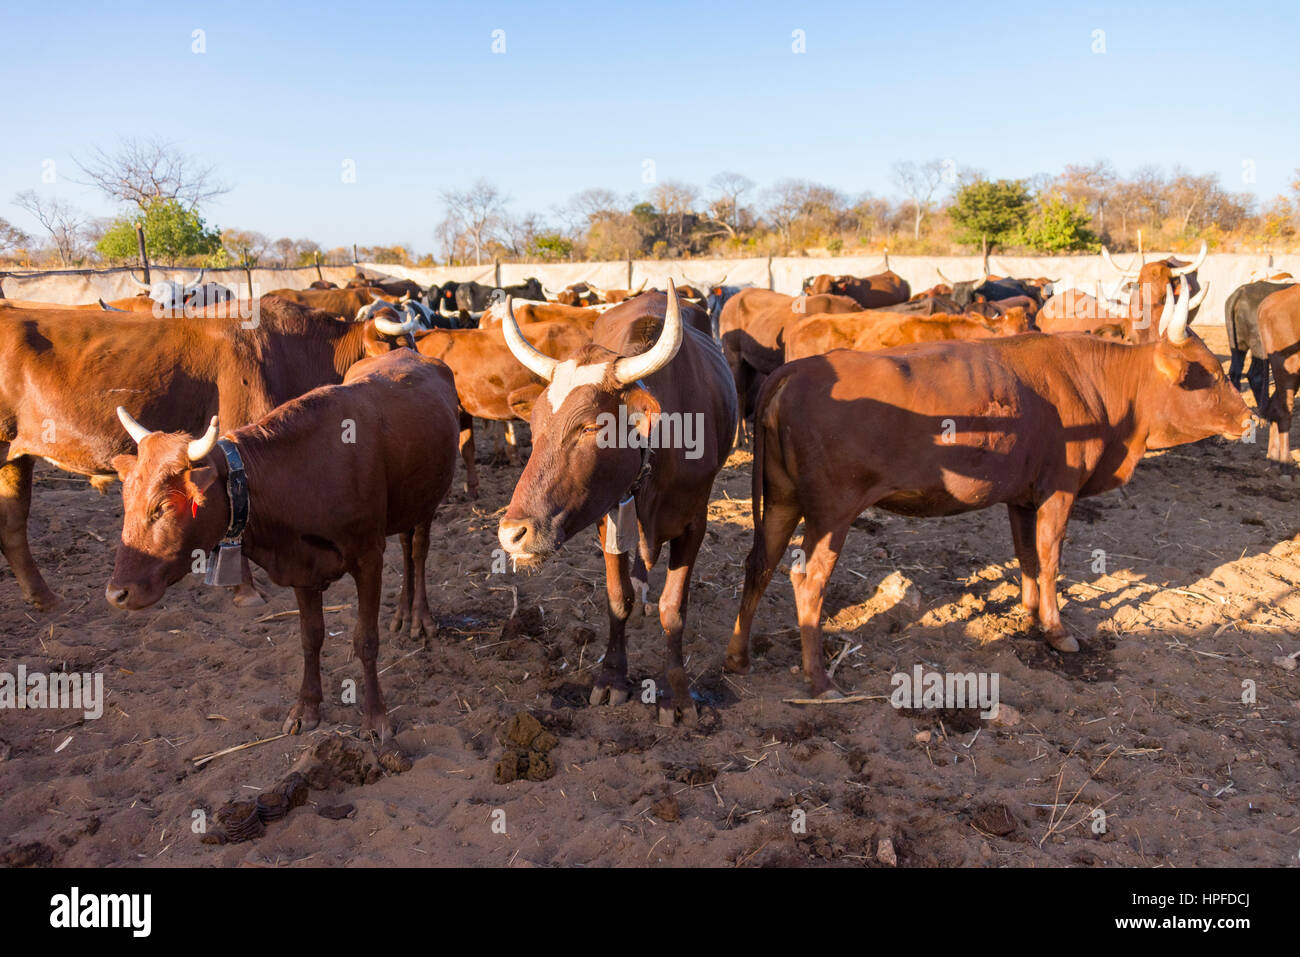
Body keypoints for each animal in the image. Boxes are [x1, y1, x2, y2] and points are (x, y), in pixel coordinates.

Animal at [106, 348, 462, 738]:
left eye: (164, 506)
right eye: (126, 498)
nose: (116, 594)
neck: (303, 471)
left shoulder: (368, 557)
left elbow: (365, 639)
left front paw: (375, 717)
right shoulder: (302, 567)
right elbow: (311, 636)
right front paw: (306, 708)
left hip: (428, 499)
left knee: (418, 549)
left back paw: (421, 618)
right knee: (406, 545)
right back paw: (401, 614)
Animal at [493, 283, 738, 722]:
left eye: (591, 426)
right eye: (533, 426)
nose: (512, 534)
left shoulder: (695, 523)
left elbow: (673, 609)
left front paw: (677, 696)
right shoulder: (607, 517)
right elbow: (617, 599)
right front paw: (611, 679)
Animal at [733, 280, 1248, 696]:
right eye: (1212, 373)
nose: (1248, 418)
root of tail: (795, 371)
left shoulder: (1022, 497)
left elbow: (1027, 557)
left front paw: (1030, 611)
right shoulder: (1060, 490)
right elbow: (1051, 557)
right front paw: (1057, 630)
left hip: (782, 501)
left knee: (759, 563)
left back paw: (737, 655)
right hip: (831, 512)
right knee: (807, 580)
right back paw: (819, 679)